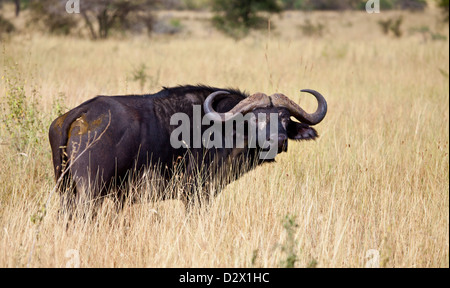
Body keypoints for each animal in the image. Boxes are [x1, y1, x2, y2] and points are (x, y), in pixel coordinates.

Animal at [50, 85, 326, 216]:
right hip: (90, 190)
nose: (279, 140)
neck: (223, 129)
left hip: (66, 190)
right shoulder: (197, 193)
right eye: (255, 118)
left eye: (284, 118)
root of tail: (82, 112)